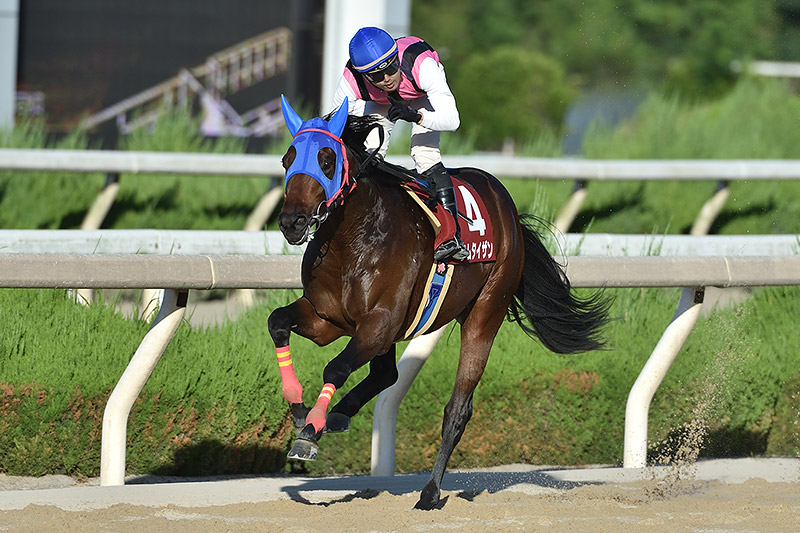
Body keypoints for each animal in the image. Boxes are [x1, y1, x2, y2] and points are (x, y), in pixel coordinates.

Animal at [266, 97, 608, 510]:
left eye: (327, 160)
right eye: (287, 159)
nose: (292, 222)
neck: (354, 241)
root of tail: (506, 205)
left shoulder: (378, 322)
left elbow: (335, 367)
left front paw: (308, 432)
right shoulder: (327, 319)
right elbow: (277, 322)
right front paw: (300, 409)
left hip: (485, 312)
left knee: (458, 408)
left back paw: (429, 492)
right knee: (387, 374)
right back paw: (339, 415)